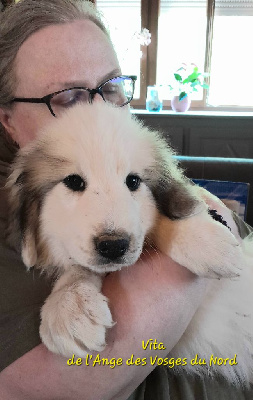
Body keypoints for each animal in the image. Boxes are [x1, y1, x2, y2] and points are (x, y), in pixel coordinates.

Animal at [6, 102, 253, 384]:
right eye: (73, 181)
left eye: (133, 181)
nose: (113, 245)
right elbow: (79, 265)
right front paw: (70, 305)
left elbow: (159, 221)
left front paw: (204, 241)